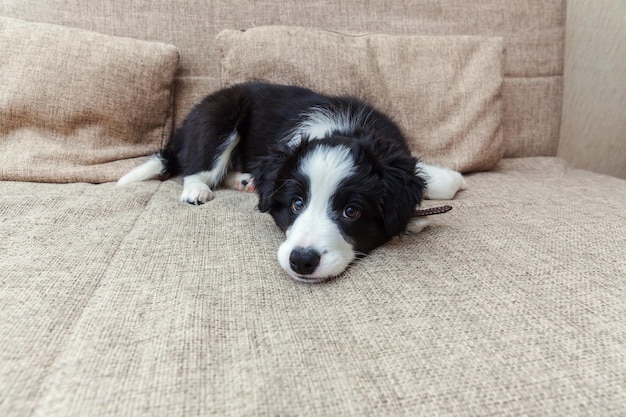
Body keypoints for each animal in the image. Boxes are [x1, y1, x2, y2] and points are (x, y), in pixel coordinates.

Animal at [119, 81, 466, 282]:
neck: (347, 130)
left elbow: (445, 181)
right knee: (197, 164)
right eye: (297, 204)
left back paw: (247, 181)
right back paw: (197, 190)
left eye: (351, 212)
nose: (301, 261)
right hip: (219, 115)